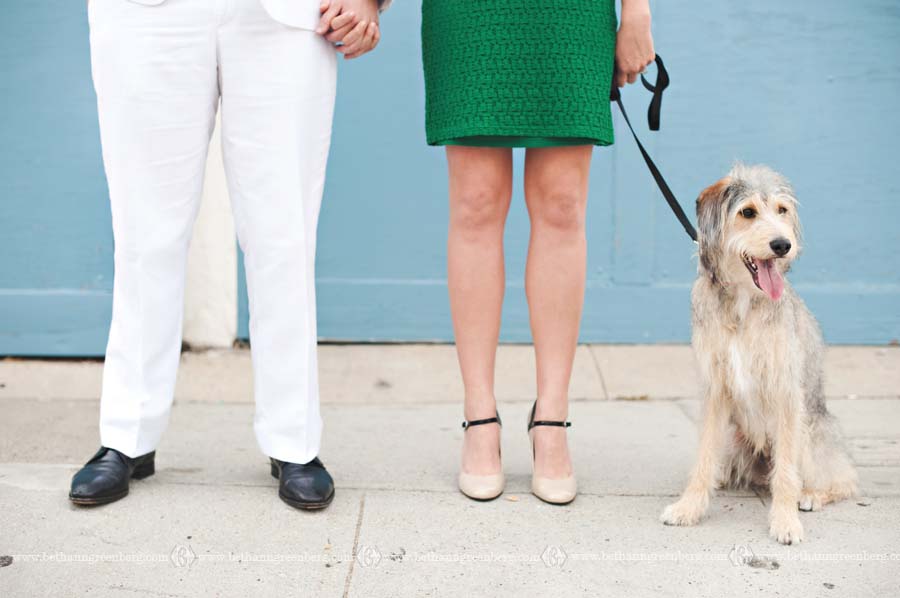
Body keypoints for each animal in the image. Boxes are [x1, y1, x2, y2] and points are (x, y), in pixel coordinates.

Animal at [660, 165, 856, 548]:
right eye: (747, 212)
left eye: (782, 210)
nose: (783, 245)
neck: (743, 301)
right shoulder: (715, 389)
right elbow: (703, 459)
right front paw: (690, 507)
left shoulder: (786, 391)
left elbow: (787, 475)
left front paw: (785, 521)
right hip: (734, 439)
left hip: (809, 431)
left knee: (844, 478)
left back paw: (811, 495)